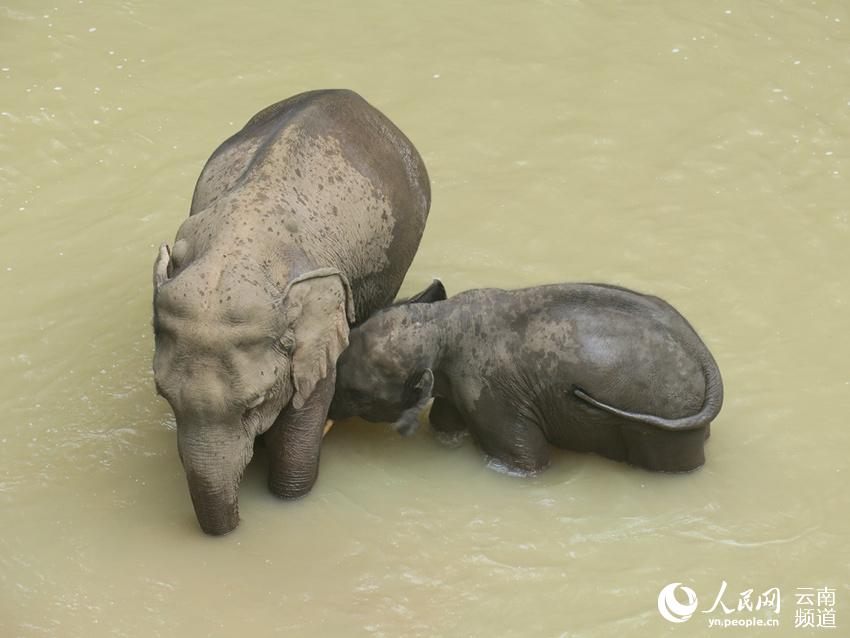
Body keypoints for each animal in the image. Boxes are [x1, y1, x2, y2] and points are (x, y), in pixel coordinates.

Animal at [151, 90, 430, 536]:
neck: (237, 251)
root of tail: (352, 97)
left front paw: (287, 492)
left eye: (254, 403)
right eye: (165, 398)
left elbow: (299, 434)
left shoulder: (323, 327)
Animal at [330, 282, 724, 476]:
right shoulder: (460, 387)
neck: (440, 322)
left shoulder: (490, 392)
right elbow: (445, 424)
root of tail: (703, 353)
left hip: (666, 416)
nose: (329, 414)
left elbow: (527, 461)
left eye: (358, 395)